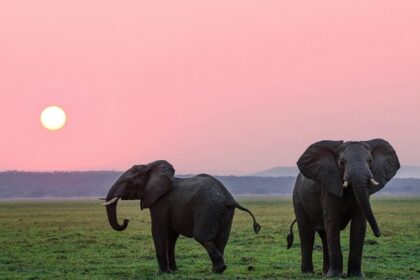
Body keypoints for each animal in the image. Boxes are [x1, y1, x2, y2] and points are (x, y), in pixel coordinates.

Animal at [102, 160, 260, 274]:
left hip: (207, 209)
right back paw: (217, 270)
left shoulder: (161, 202)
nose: (125, 220)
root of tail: (229, 198)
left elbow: (159, 231)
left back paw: (217, 270)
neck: (150, 167)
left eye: (129, 182)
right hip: (225, 212)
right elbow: (172, 236)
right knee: (222, 239)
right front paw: (174, 271)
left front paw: (163, 273)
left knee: (203, 237)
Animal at [286, 139, 400, 276]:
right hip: (298, 199)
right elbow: (333, 221)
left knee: (324, 235)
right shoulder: (328, 187)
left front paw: (356, 276)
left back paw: (325, 272)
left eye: (370, 161)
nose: (378, 234)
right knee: (307, 232)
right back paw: (308, 273)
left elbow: (359, 224)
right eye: (341, 163)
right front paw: (335, 276)